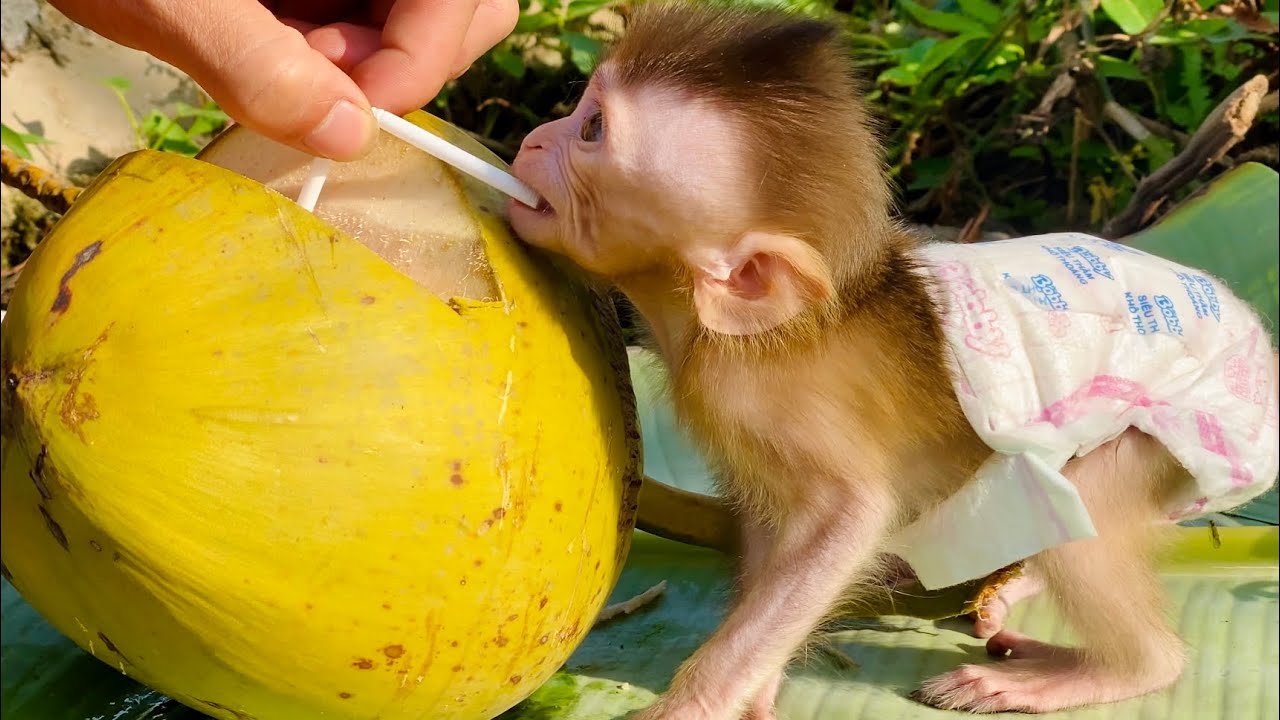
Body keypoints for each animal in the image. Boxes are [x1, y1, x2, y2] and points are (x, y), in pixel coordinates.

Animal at [505, 3, 1280, 718]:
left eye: (592, 128)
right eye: (579, 107)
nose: (533, 137)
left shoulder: (757, 396)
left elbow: (846, 523)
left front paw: (696, 702)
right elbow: (773, 536)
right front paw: (758, 686)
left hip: (1185, 431)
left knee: (1086, 508)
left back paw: (1116, 668)